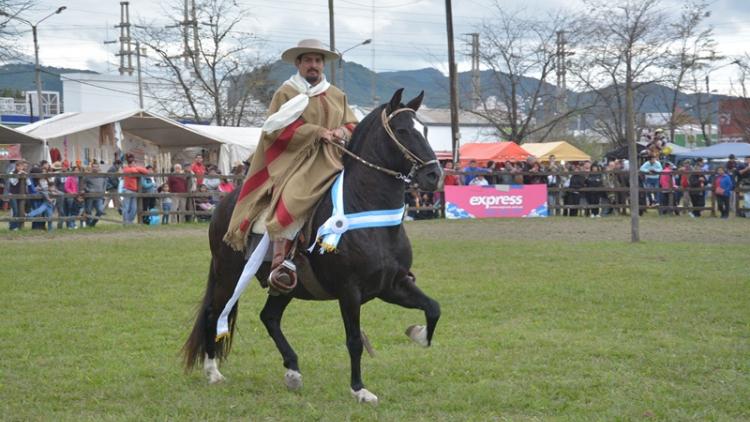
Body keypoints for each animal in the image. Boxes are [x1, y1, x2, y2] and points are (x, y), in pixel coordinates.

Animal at [184, 89, 440, 406]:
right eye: (403, 130)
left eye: (425, 130)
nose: (434, 175)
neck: (366, 208)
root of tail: (226, 204)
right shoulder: (350, 291)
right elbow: (354, 340)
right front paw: (359, 389)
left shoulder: (393, 284)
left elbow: (433, 307)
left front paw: (418, 334)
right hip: (229, 276)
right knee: (214, 313)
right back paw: (213, 372)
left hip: (285, 287)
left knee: (269, 317)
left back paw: (293, 371)